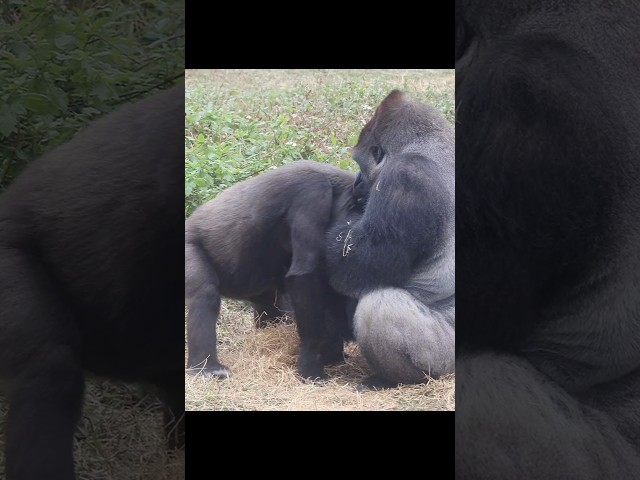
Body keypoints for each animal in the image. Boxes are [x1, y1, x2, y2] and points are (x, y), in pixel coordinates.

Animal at [185, 159, 360, 380]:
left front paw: (333, 352)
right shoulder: (313, 193)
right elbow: (305, 276)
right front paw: (311, 360)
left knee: (270, 303)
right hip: (187, 247)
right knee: (204, 295)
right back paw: (206, 367)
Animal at [324, 90, 456, 384]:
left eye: (360, 163)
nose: (356, 183)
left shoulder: (406, 178)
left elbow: (357, 262)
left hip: (445, 357)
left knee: (380, 305)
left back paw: (392, 380)